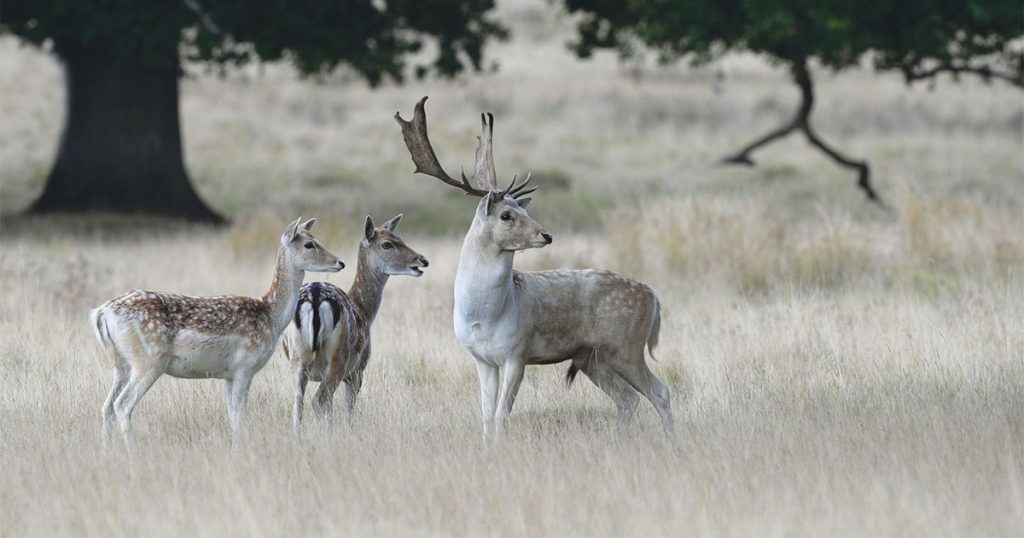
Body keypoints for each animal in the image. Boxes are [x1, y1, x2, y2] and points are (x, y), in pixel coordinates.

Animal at [89, 218, 344, 450]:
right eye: (309, 244)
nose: (340, 262)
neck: (270, 316)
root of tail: (101, 313)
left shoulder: (228, 374)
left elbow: (231, 415)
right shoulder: (244, 366)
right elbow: (239, 415)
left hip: (122, 362)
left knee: (106, 406)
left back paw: (107, 451)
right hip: (149, 361)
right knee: (122, 405)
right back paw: (132, 453)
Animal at [281, 214, 429, 435]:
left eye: (400, 237)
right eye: (387, 244)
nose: (423, 260)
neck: (364, 310)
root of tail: (315, 299)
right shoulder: (357, 371)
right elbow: (348, 410)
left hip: (297, 360)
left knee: (298, 404)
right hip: (338, 360)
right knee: (319, 399)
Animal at [394, 97, 673, 438]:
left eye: (523, 210)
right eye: (506, 215)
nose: (546, 234)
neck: (485, 315)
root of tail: (654, 295)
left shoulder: (517, 352)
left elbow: (502, 413)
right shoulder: (482, 359)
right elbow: (486, 414)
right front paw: (487, 444)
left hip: (625, 345)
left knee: (659, 392)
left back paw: (671, 440)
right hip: (593, 357)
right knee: (628, 398)